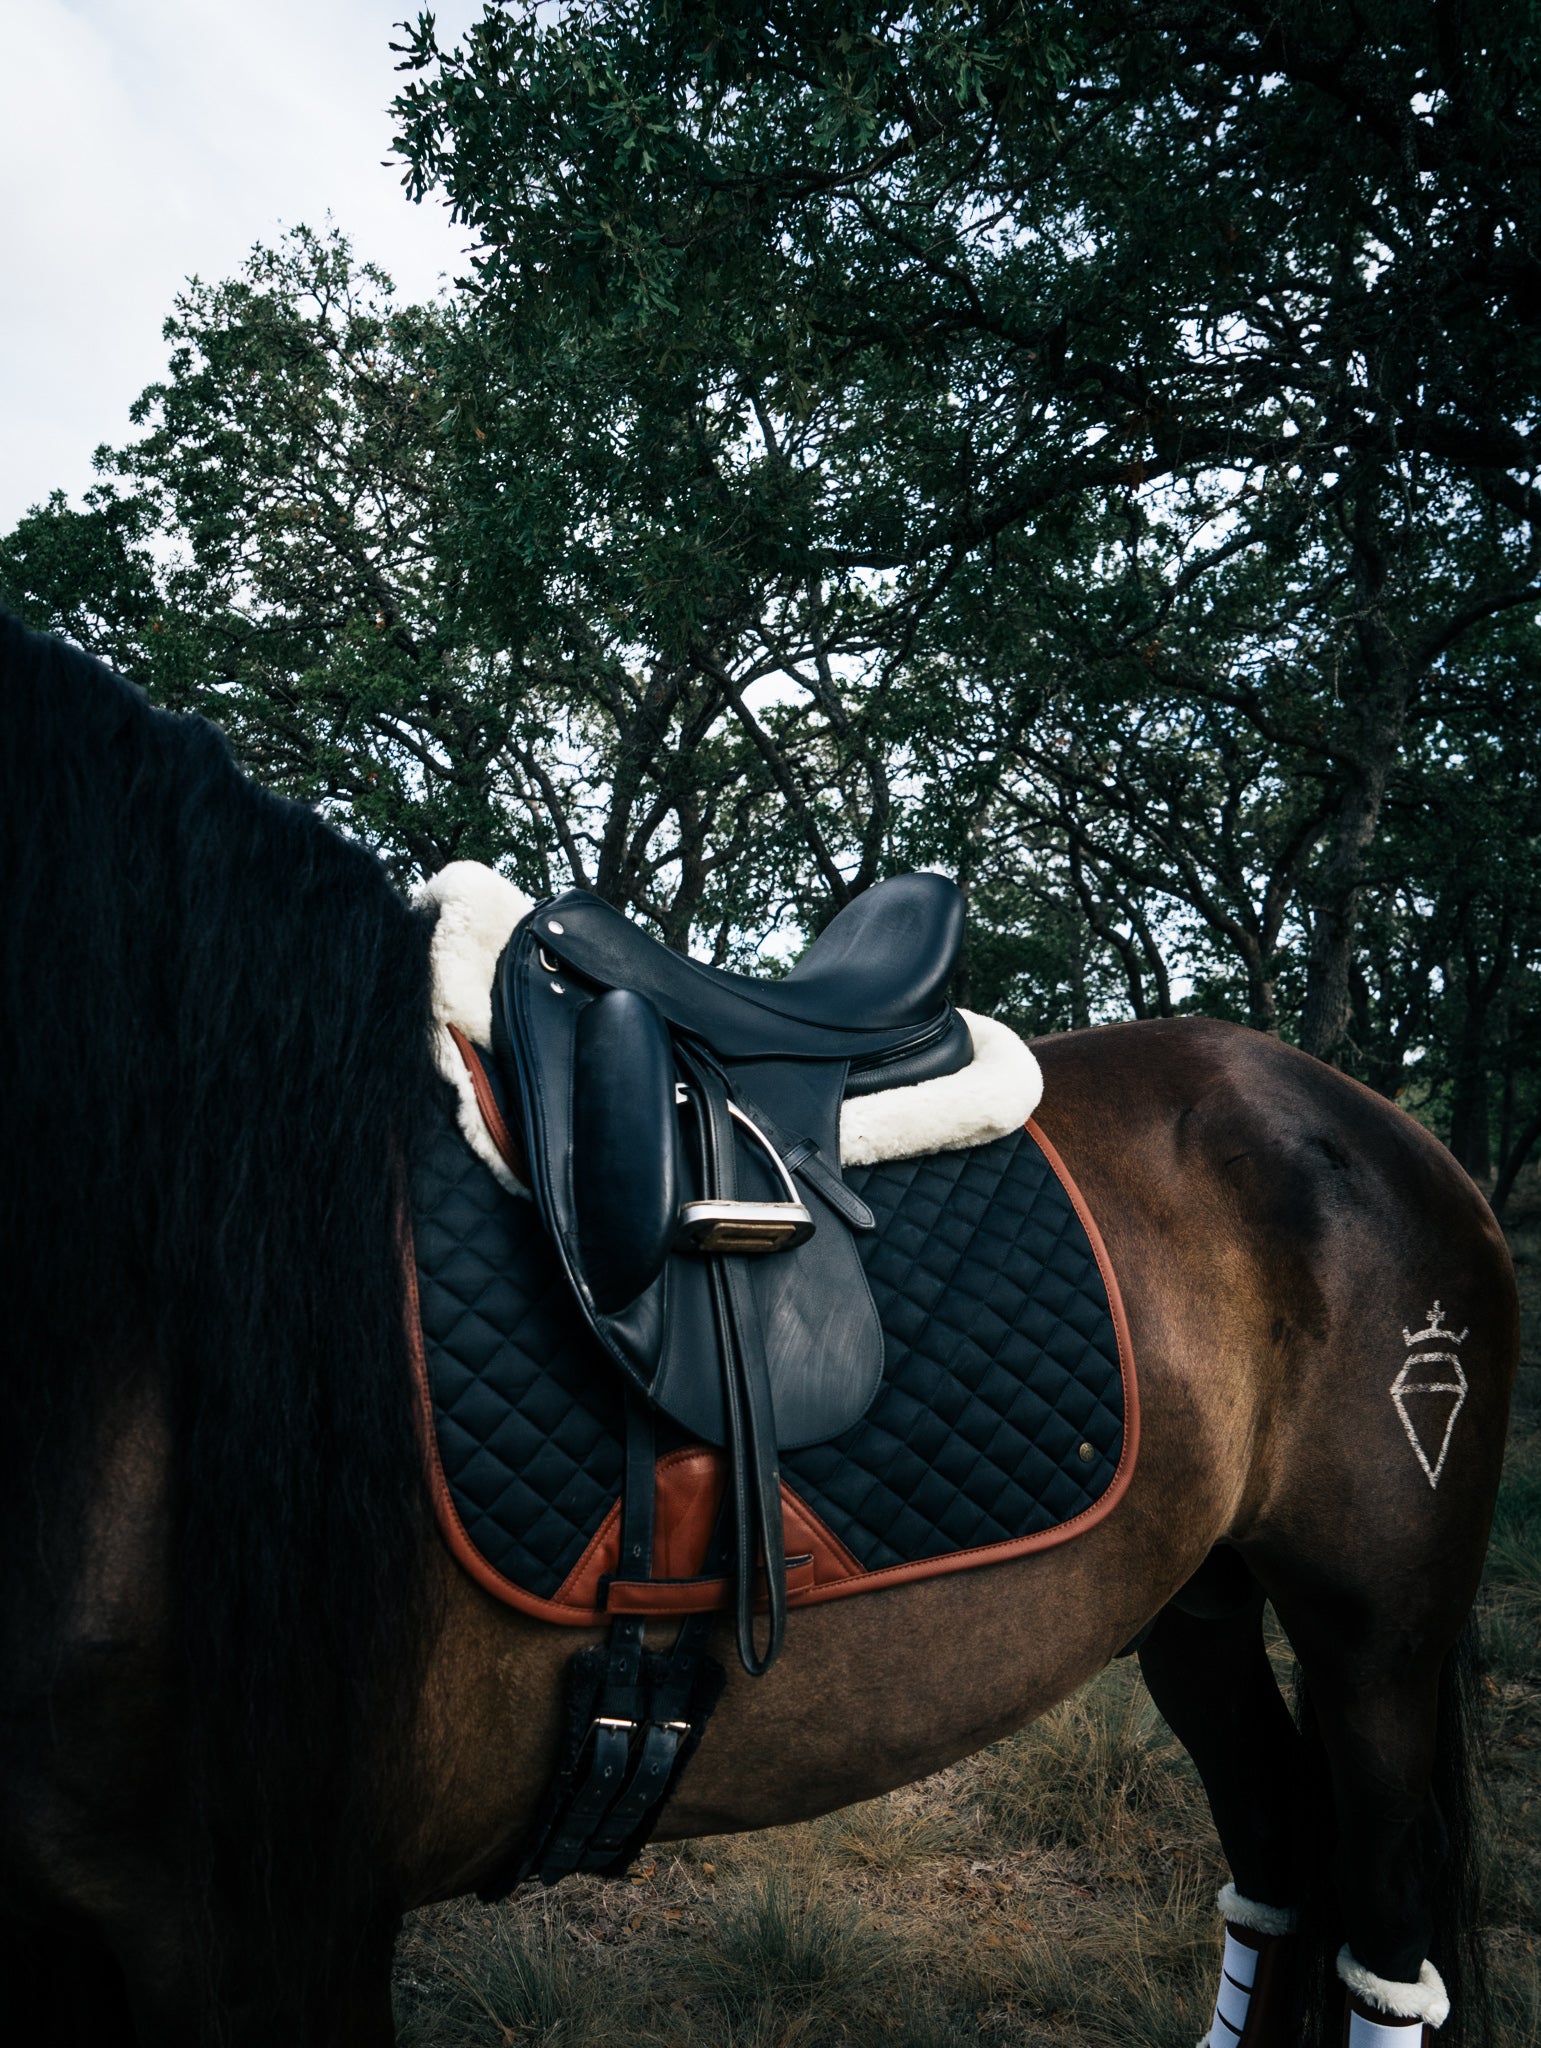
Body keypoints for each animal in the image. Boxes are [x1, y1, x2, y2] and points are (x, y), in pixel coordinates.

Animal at [0, 610, 1516, 2048]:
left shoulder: (266, 1925)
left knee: (1383, 1943)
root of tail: (1375, 1121)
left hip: (1378, 1634)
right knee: (1272, 1873)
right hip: (1195, 1598)